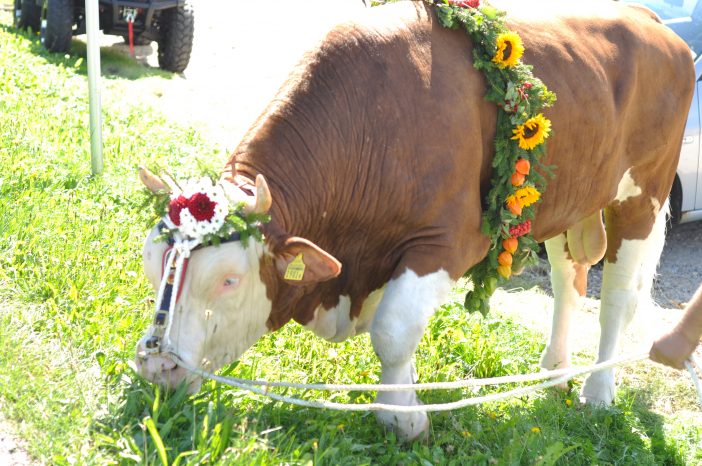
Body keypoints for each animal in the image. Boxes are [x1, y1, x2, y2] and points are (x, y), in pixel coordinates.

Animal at [135, 0, 696, 440]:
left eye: (228, 280)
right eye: (153, 264)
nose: (156, 365)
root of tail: (648, 17)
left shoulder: (450, 241)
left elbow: (393, 329)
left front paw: (402, 418)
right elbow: (396, 332)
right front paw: (402, 400)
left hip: (644, 195)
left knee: (616, 298)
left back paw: (597, 391)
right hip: (571, 198)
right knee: (568, 280)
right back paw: (554, 371)